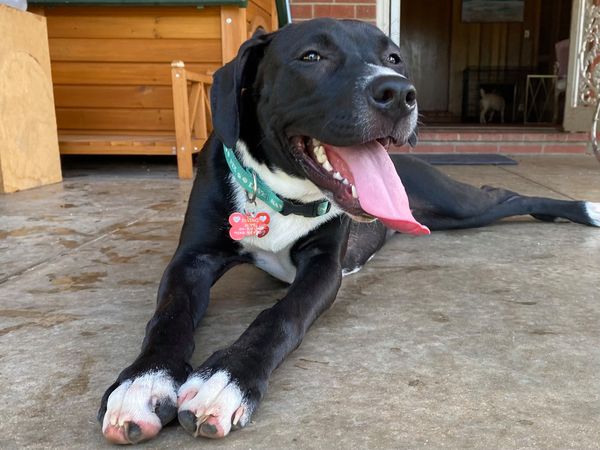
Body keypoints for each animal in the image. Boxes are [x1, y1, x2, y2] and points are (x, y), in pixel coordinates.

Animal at [99, 18, 600, 442]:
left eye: (394, 57)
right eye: (311, 56)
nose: (399, 93)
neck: (279, 194)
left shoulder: (324, 268)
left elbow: (281, 316)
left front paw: (228, 377)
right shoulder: (191, 260)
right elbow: (169, 316)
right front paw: (143, 382)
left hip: (460, 206)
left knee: (511, 197)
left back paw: (586, 207)